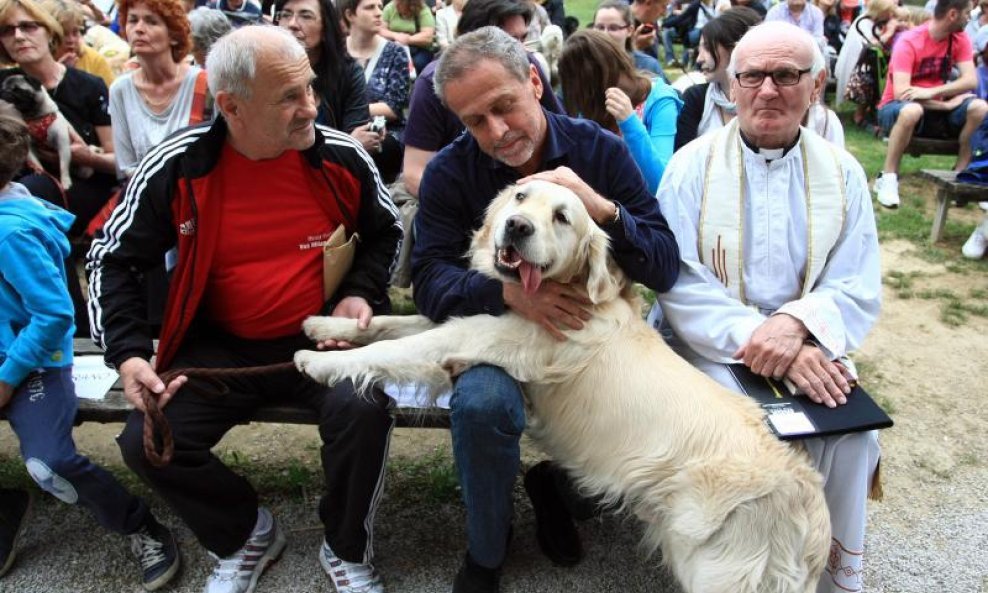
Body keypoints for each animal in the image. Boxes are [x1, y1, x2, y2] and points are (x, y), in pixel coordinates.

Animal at [296, 180, 832, 592]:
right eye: (519, 196)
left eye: (562, 217)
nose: (517, 226)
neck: (567, 293)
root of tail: (810, 503)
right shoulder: (472, 318)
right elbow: (393, 325)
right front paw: (327, 326)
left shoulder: (477, 335)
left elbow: (398, 350)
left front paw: (318, 362)